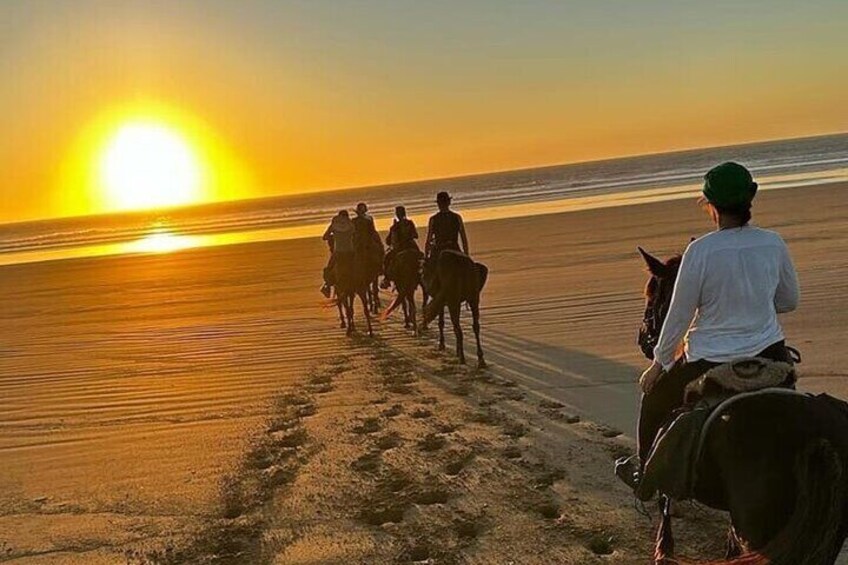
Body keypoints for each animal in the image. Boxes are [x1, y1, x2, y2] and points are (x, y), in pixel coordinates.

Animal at [632, 247, 848, 564]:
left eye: (653, 295)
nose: (644, 341)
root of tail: (818, 439)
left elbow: (665, 504)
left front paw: (663, 550)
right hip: (826, 535)